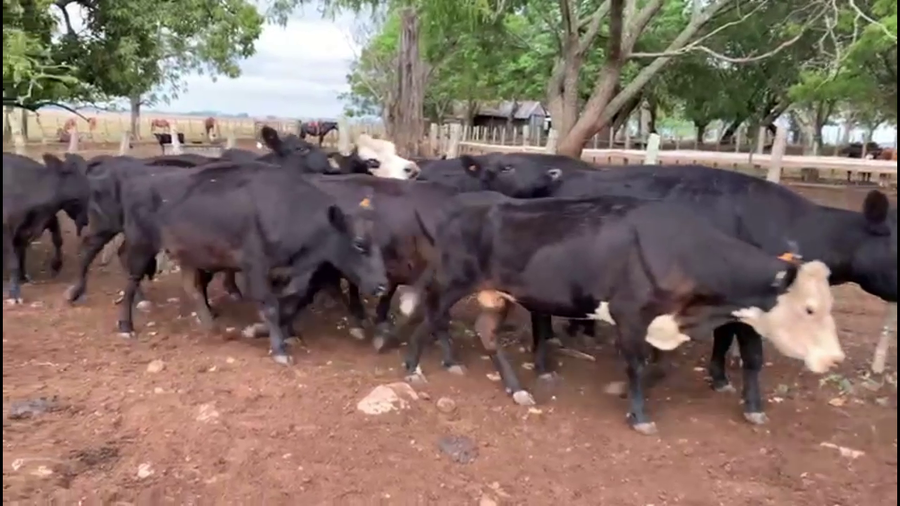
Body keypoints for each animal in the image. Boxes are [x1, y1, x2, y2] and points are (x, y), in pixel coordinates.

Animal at [3, 153, 90, 303]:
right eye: (72, 172)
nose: (86, 220)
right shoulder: (7, 229)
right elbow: (13, 260)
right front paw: (14, 292)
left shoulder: (47, 218)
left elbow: (58, 239)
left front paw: (55, 265)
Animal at [113, 161, 389, 364]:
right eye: (359, 244)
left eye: (379, 243)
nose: (383, 285)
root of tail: (141, 178)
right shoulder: (255, 268)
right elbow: (271, 307)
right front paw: (279, 350)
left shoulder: (288, 275)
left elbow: (290, 304)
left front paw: (279, 334)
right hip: (141, 245)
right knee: (130, 280)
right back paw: (126, 325)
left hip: (187, 254)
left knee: (192, 287)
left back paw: (211, 326)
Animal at [397, 194, 844, 434]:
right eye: (809, 308)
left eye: (829, 305)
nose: (835, 358)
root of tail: (466, 204)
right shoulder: (630, 314)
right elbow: (636, 364)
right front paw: (639, 414)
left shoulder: (659, 322)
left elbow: (659, 366)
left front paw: (624, 392)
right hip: (452, 282)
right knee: (431, 316)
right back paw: (414, 367)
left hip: (496, 293)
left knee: (485, 331)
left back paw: (515, 388)